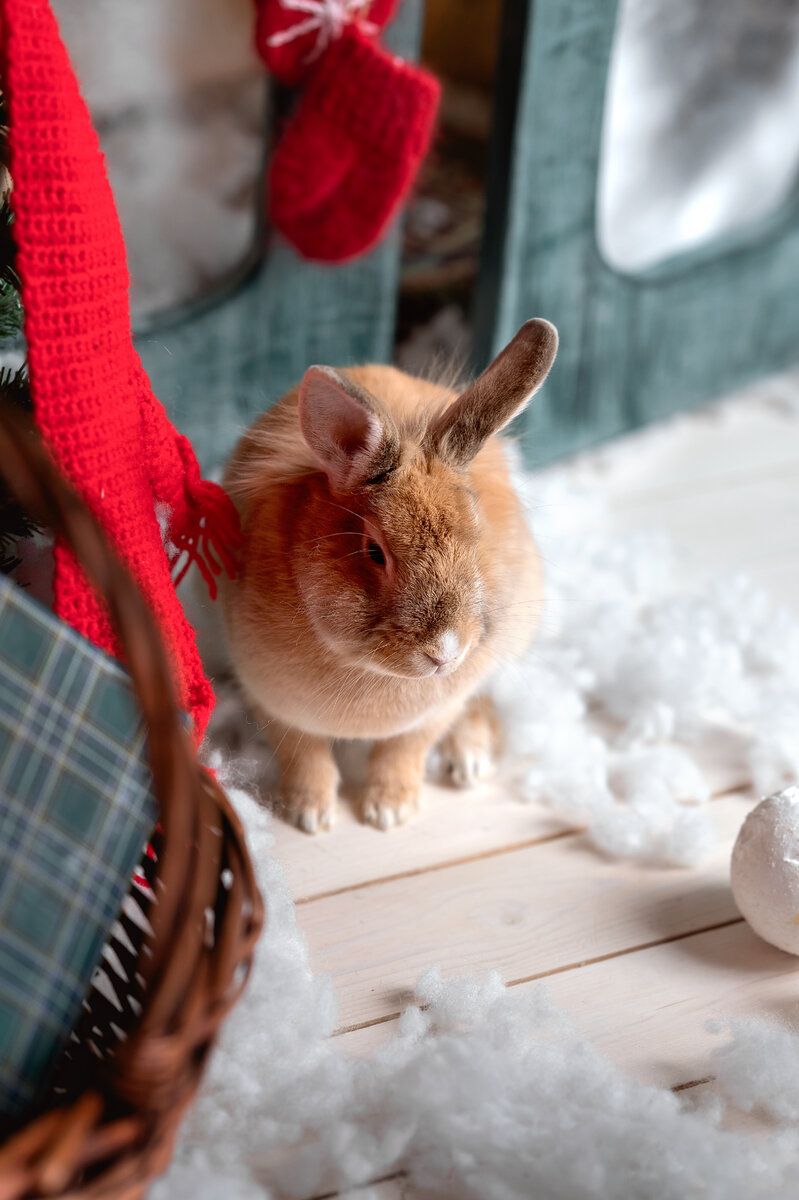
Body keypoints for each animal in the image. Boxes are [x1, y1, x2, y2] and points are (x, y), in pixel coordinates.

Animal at [215, 314, 554, 830]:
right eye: (374, 551)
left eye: (478, 538)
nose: (446, 653)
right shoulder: (273, 704)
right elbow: (304, 756)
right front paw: (309, 815)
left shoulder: (436, 711)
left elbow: (403, 750)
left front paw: (388, 811)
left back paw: (469, 760)